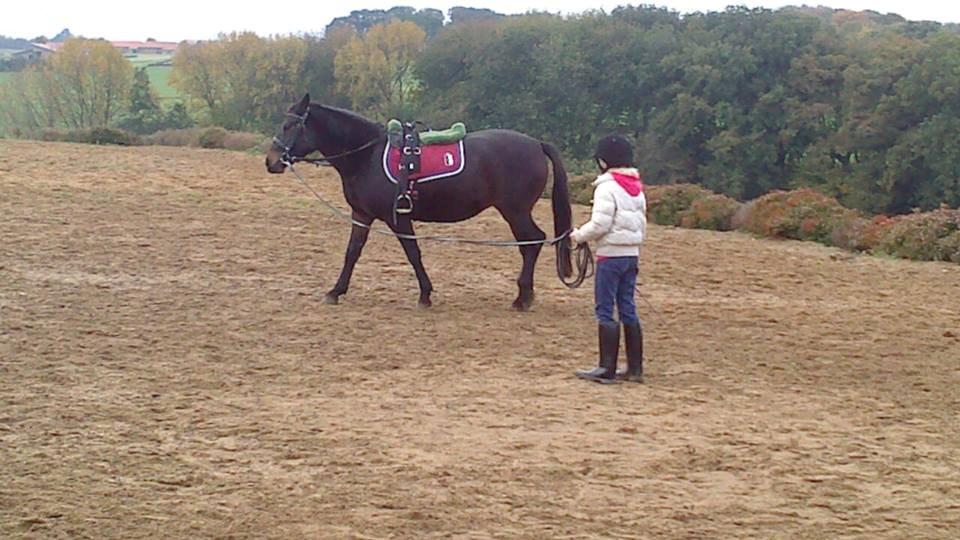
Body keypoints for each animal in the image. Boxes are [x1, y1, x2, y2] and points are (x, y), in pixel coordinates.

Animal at [266, 95, 572, 310]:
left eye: (290, 125)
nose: (271, 161)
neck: (367, 155)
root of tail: (536, 144)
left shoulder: (398, 217)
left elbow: (413, 253)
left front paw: (425, 294)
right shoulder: (362, 215)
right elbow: (352, 252)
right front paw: (335, 291)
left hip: (515, 211)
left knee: (532, 241)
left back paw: (522, 297)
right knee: (529, 244)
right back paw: (524, 295)